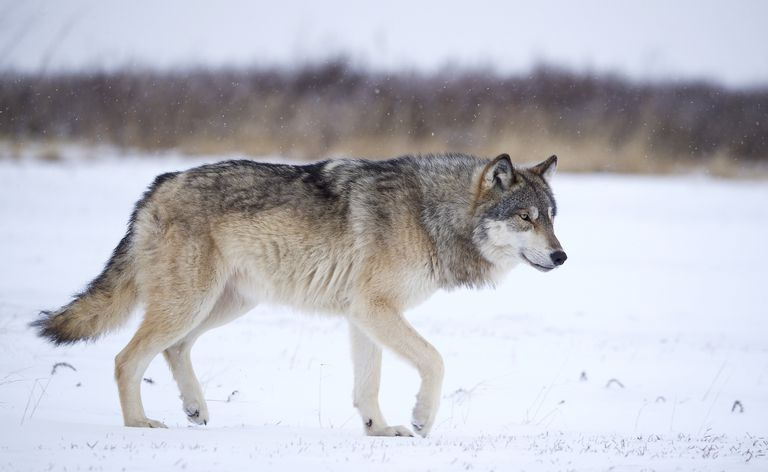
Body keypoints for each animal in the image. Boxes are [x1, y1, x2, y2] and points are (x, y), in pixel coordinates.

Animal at [32, 152, 566, 437]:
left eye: (552, 216)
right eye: (525, 217)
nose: (562, 257)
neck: (431, 214)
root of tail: (158, 184)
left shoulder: (363, 315)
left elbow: (367, 387)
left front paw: (380, 431)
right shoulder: (375, 309)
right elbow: (435, 360)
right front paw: (419, 418)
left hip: (225, 304)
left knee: (174, 348)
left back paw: (194, 409)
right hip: (192, 303)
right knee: (126, 358)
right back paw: (139, 424)